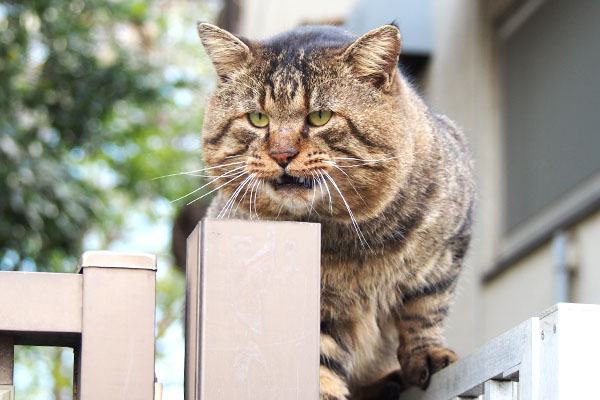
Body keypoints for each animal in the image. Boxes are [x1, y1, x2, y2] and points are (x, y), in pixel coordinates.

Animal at [196, 21, 474, 400]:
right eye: (257, 118)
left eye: (320, 116)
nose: (281, 154)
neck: (354, 240)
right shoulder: (315, 311)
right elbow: (320, 365)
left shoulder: (448, 249)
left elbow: (425, 310)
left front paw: (427, 352)